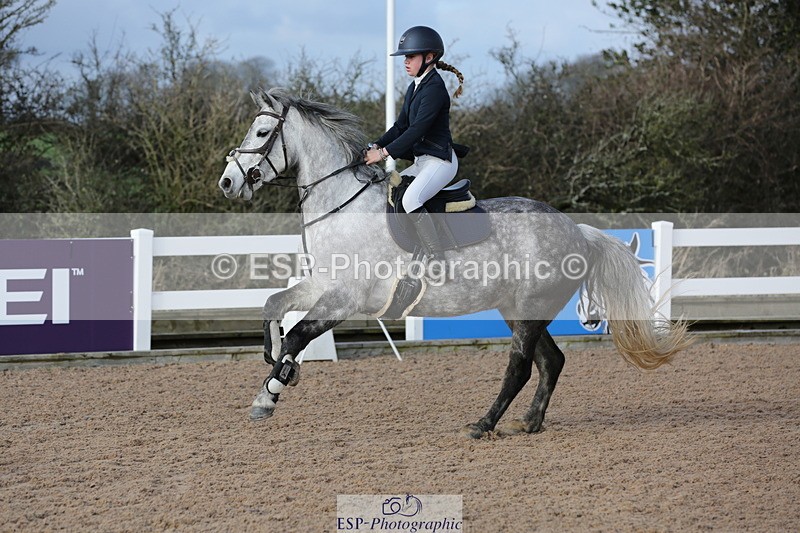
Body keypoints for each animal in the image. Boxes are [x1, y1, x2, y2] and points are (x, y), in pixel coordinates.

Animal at [218, 88, 690, 438]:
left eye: (262, 131)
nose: (227, 182)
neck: (342, 203)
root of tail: (576, 230)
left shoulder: (345, 298)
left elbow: (299, 334)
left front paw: (270, 392)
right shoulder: (322, 285)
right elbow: (274, 306)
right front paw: (276, 365)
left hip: (526, 310)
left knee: (520, 367)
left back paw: (483, 424)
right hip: (519, 309)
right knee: (551, 361)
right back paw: (529, 422)